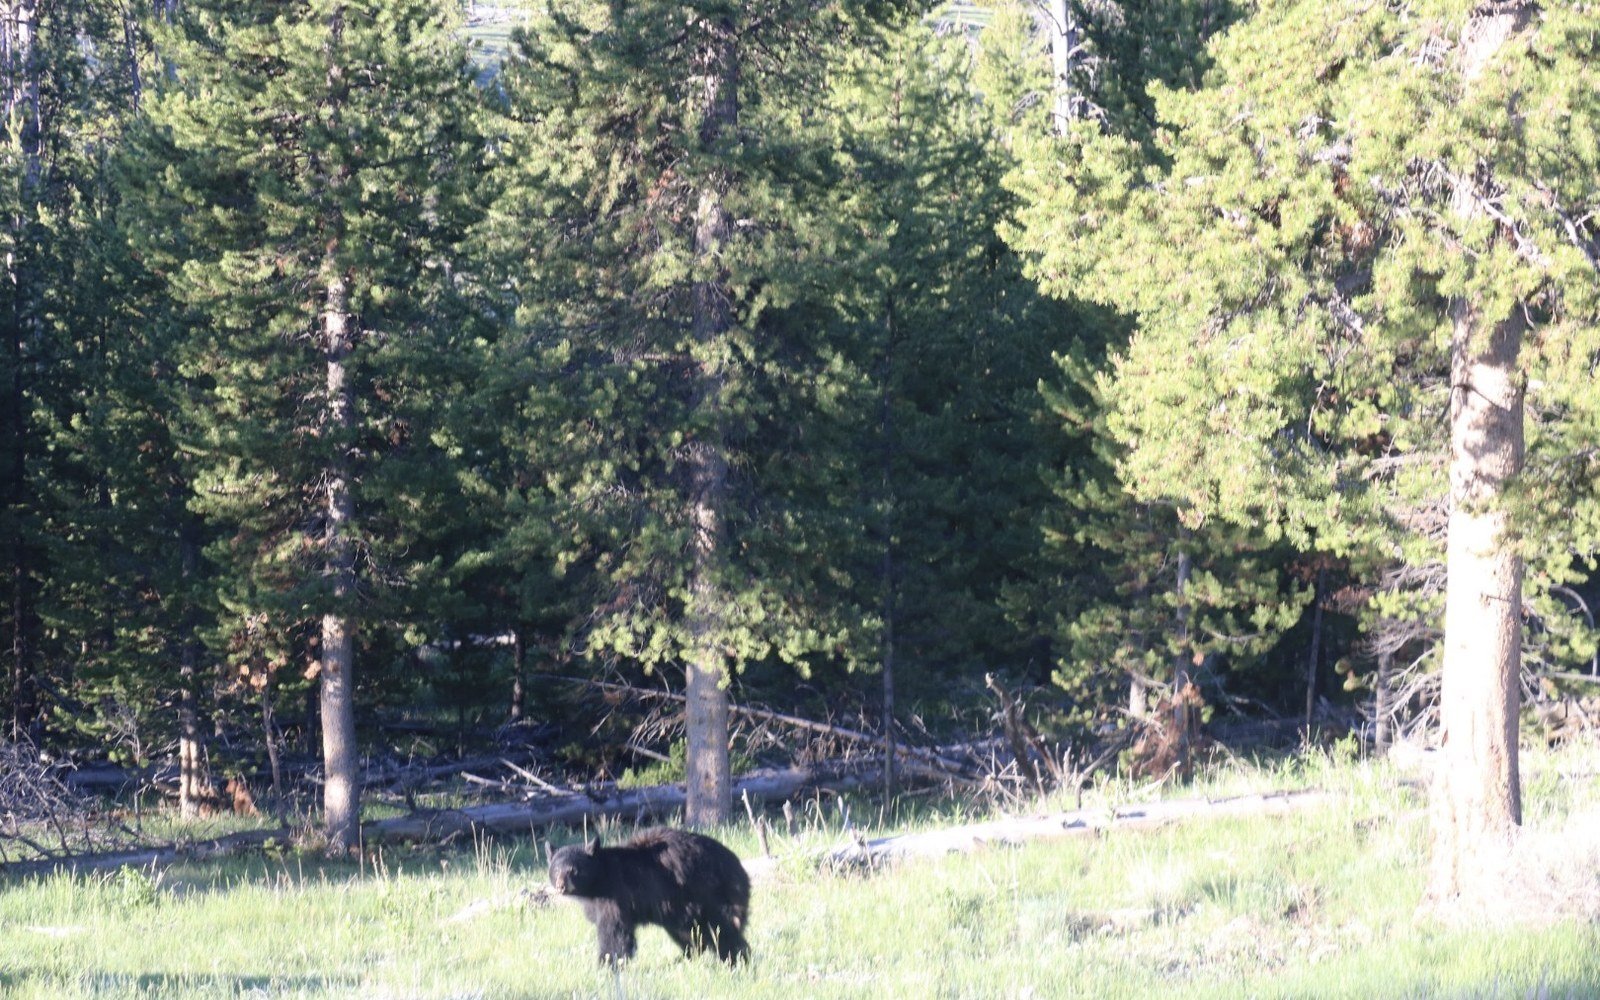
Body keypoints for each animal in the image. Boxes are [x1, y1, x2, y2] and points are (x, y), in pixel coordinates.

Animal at [547, 827, 751, 965]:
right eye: (556, 869)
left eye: (573, 870)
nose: (561, 886)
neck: (599, 879)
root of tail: (739, 867)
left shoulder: (616, 896)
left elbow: (614, 932)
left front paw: (607, 964)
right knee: (693, 934)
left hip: (711, 895)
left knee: (722, 930)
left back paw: (737, 959)